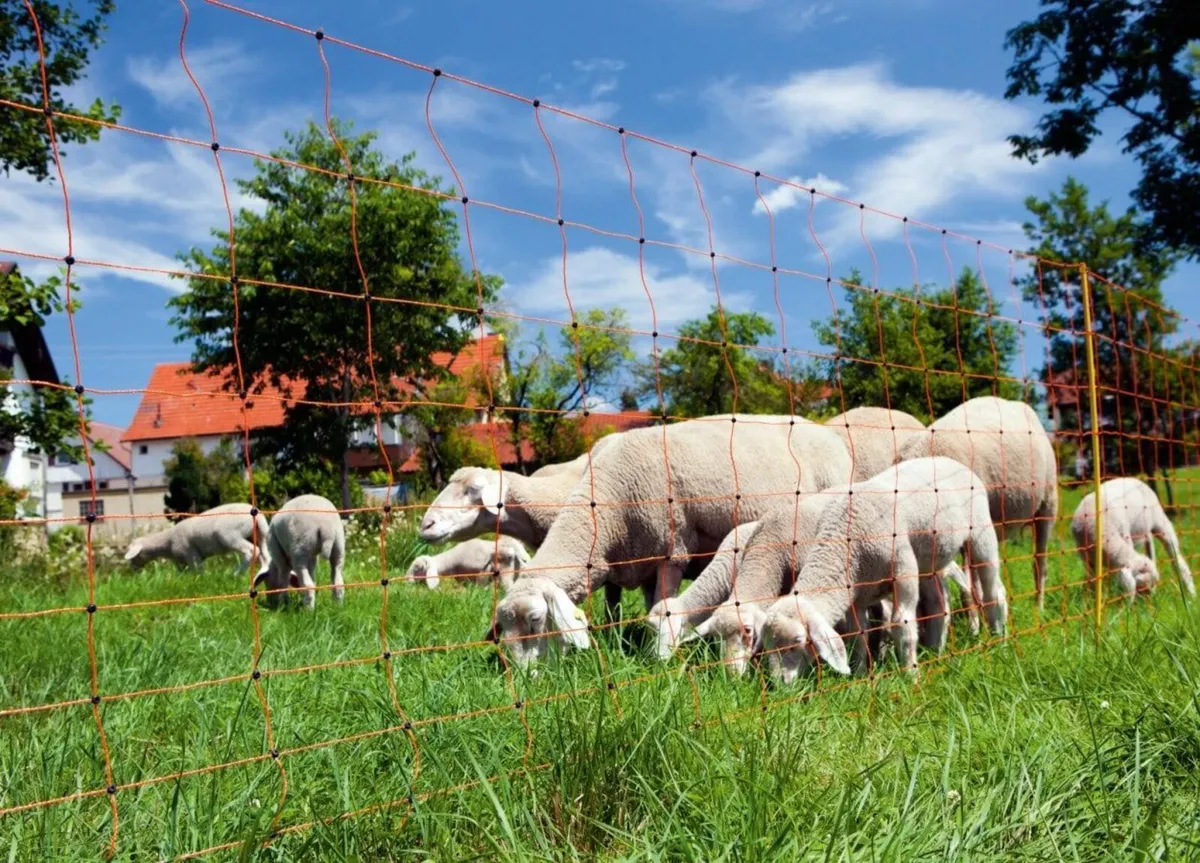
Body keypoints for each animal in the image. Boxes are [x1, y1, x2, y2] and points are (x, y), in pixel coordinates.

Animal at [123, 502, 270, 577]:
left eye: (134, 556)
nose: (132, 570)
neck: (167, 543)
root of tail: (258, 514)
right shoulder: (181, 560)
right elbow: (183, 573)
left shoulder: (191, 554)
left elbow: (198, 571)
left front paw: (200, 579)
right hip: (258, 535)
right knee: (264, 555)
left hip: (230, 535)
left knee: (251, 551)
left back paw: (236, 574)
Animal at [488, 414, 856, 668]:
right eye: (504, 627)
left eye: (535, 619)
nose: (523, 677)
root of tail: (825, 432)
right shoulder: (633, 559)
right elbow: (626, 608)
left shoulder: (672, 551)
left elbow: (663, 607)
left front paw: (659, 660)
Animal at [756, 456, 1009, 685]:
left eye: (797, 641)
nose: (779, 685)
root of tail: (951, 460)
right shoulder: (856, 594)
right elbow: (858, 634)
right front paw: (859, 675)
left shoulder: (903, 571)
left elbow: (901, 625)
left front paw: (911, 676)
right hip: (931, 560)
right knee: (939, 605)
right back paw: (936, 650)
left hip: (981, 533)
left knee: (994, 591)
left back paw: (1000, 639)